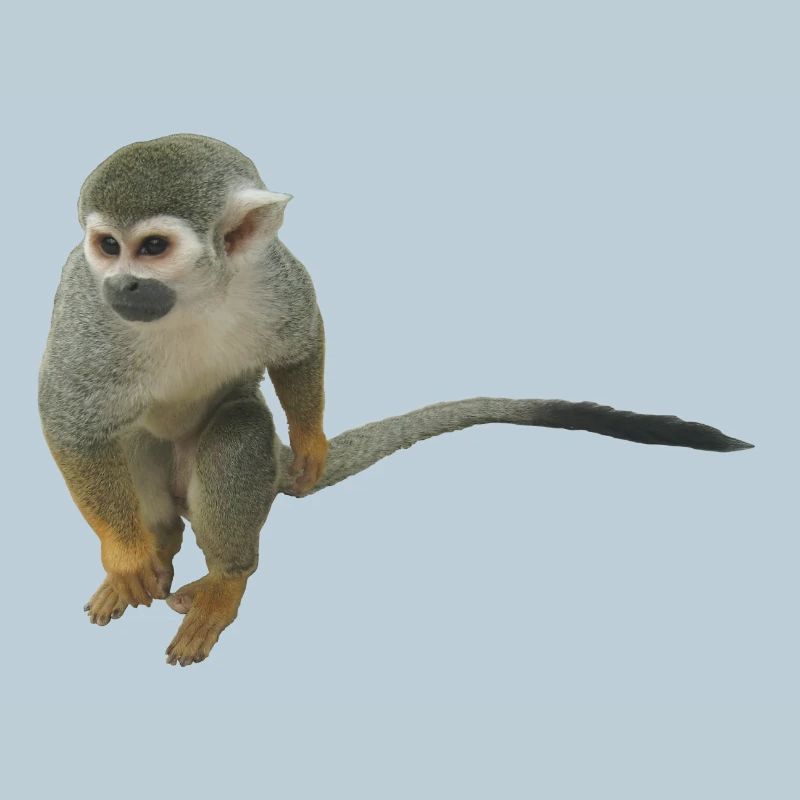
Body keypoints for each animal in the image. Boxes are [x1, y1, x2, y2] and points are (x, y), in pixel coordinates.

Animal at [38, 134, 752, 667]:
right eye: (107, 246)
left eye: (153, 247)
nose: (125, 285)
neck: (195, 297)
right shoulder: (86, 306)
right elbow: (67, 418)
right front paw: (126, 555)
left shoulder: (272, 274)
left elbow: (302, 342)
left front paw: (312, 442)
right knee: (130, 445)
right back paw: (152, 548)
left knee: (239, 427)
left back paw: (228, 578)